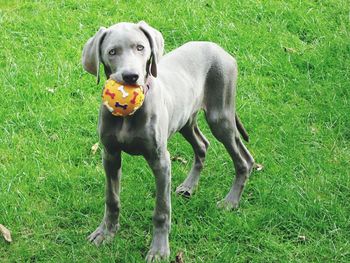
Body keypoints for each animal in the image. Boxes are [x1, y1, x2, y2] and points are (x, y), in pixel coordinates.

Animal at [82, 21, 254, 262]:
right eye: (112, 52)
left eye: (140, 47)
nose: (131, 76)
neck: (130, 114)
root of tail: (220, 49)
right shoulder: (110, 155)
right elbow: (111, 198)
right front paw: (106, 232)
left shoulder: (161, 161)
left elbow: (161, 210)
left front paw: (159, 250)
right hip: (186, 120)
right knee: (203, 145)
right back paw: (189, 186)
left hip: (220, 116)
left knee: (243, 160)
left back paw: (230, 201)